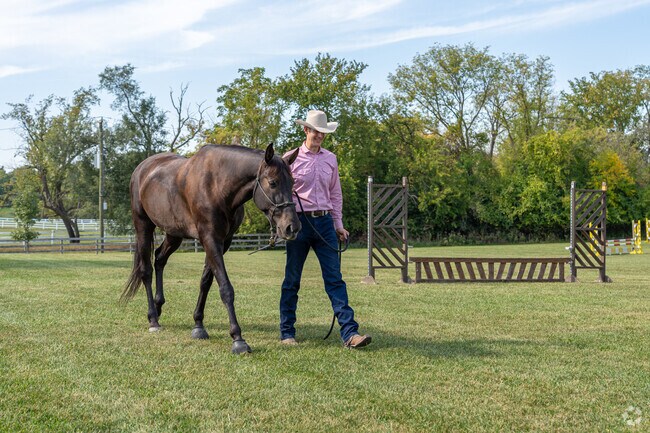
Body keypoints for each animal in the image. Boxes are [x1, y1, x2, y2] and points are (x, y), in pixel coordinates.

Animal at [122, 143, 301, 354]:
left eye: (293, 183)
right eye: (273, 183)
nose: (292, 227)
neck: (217, 186)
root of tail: (142, 169)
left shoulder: (222, 242)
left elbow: (206, 282)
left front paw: (198, 326)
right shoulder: (210, 238)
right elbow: (225, 288)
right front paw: (238, 339)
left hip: (174, 233)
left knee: (159, 259)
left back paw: (158, 307)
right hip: (143, 226)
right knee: (146, 270)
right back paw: (153, 319)